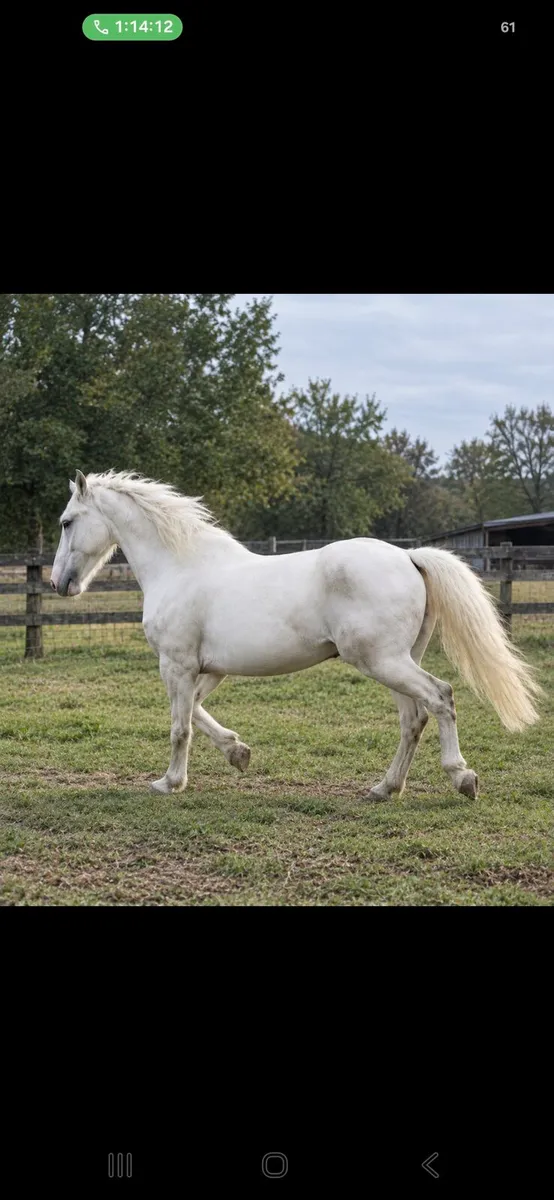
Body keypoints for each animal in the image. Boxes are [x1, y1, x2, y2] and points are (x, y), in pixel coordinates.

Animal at [51, 470, 541, 799]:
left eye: (67, 522)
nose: (59, 583)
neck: (180, 567)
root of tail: (409, 557)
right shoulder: (208, 670)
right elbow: (197, 714)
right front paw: (237, 753)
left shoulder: (177, 665)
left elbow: (180, 726)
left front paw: (170, 782)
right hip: (396, 662)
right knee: (413, 719)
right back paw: (385, 788)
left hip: (383, 661)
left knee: (440, 698)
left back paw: (462, 777)